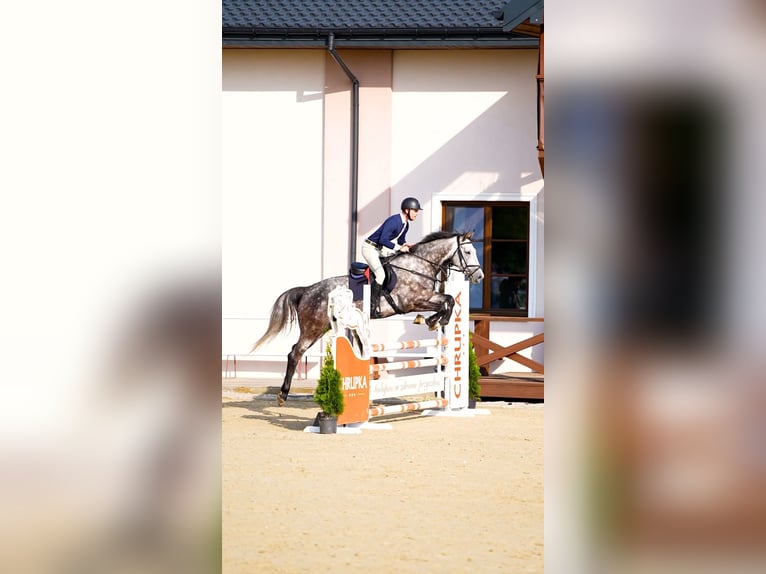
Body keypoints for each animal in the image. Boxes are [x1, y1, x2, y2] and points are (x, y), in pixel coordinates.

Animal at [251, 231, 484, 405]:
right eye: (468, 251)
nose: (479, 277)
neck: (418, 266)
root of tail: (307, 290)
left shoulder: (427, 297)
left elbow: (449, 300)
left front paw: (431, 321)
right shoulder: (412, 302)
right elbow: (446, 303)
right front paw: (433, 321)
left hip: (322, 327)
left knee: (295, 351)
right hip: (313, 328)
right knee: (295, 353)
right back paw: (282, 395)